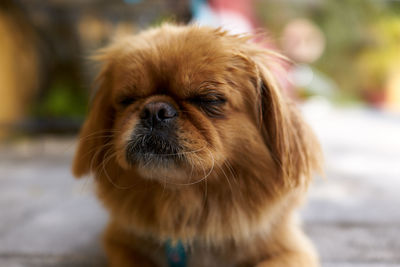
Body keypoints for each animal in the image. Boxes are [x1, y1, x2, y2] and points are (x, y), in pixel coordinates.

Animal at [72, 24, 322, 266]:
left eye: (208, 99)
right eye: (127, 100)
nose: (154, 110)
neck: (183, 202)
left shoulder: (292, 251)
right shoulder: (119, 243)